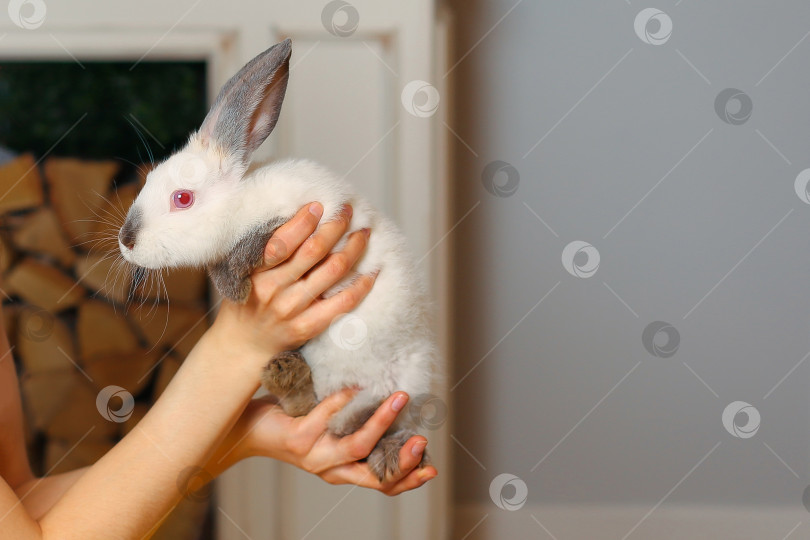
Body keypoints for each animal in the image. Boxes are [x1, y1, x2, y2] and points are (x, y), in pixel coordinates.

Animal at [117, 39, 436, 480]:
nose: (126, 241)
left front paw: (233, 288)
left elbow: (254, 241)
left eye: (182, 198)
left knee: (386, 415)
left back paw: (383, 448)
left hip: (412, 380)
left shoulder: (313, 214)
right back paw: (290, 378)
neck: (239, 203)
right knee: (312, 410)